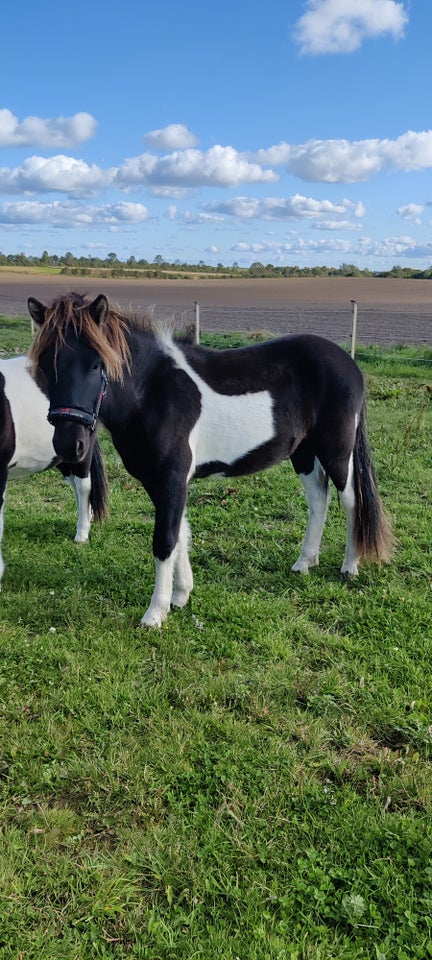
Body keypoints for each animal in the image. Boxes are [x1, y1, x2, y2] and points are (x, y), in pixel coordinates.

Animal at [26, 288, 392, 628]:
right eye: (44, 365)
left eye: (96, 364)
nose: (69, 445)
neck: (153, 392)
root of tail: (349, 363)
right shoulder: (161, 481)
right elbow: (180, 533)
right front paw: (180, 596)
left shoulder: (172, 477)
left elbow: (165, 540)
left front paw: (155, 614)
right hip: (303, 452)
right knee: (318, 500)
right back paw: (305, 562)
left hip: (336, 452)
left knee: (352, 501)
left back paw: (349, 567)